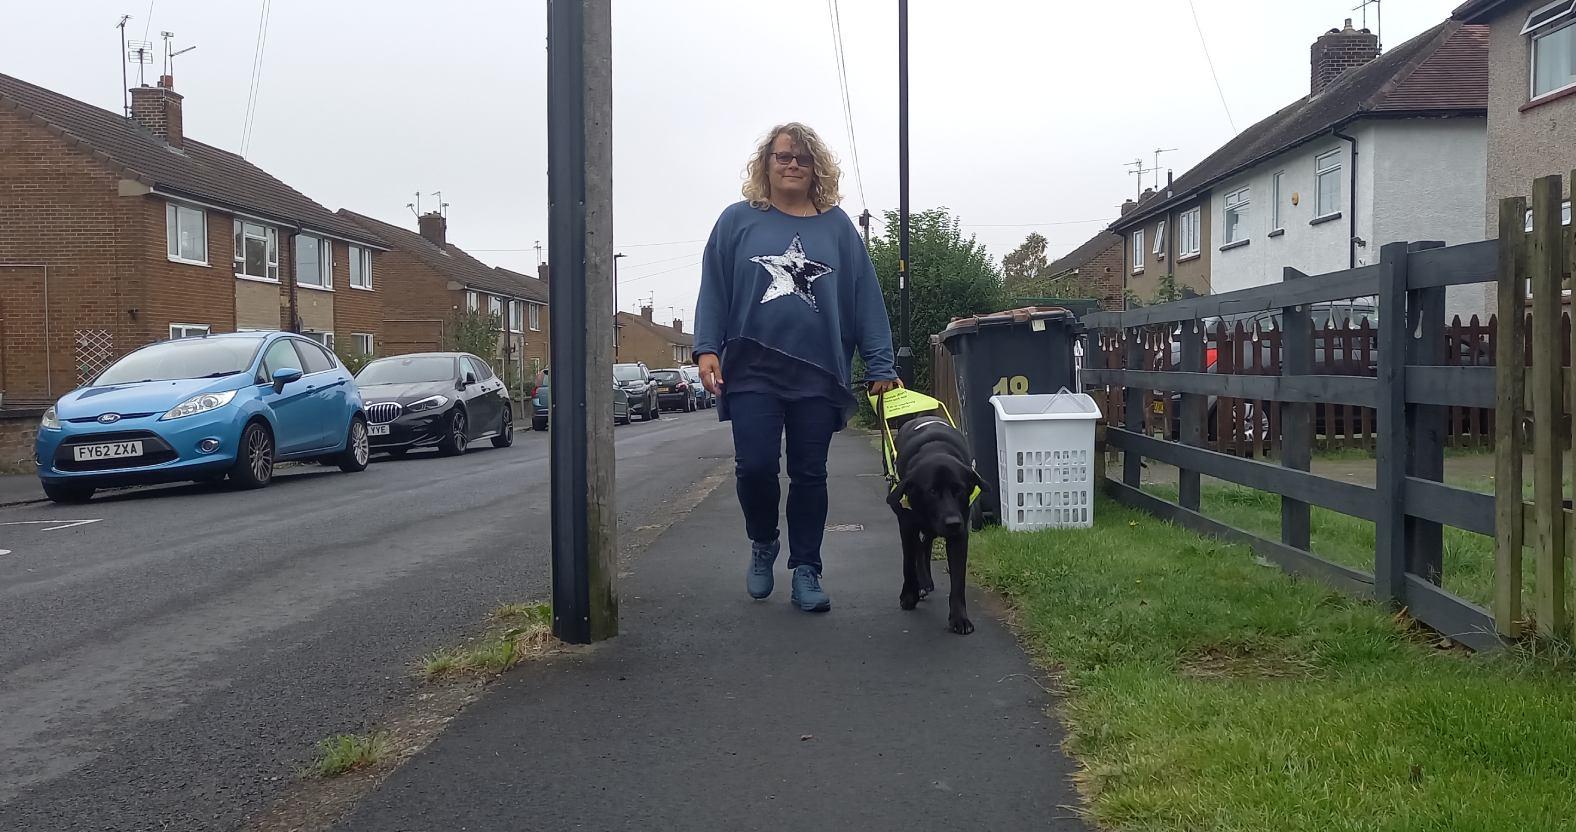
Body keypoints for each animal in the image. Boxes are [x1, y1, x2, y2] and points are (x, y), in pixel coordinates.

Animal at [888, 412, 983, 633]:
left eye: (958, 490)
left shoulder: (959, 535)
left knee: (925, 545)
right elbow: (908, 562)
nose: (952, 522)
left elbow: (957, 580)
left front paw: (959, 618)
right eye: (931, 491)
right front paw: (909, 596)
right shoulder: (907, 525)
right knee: (918, 549)